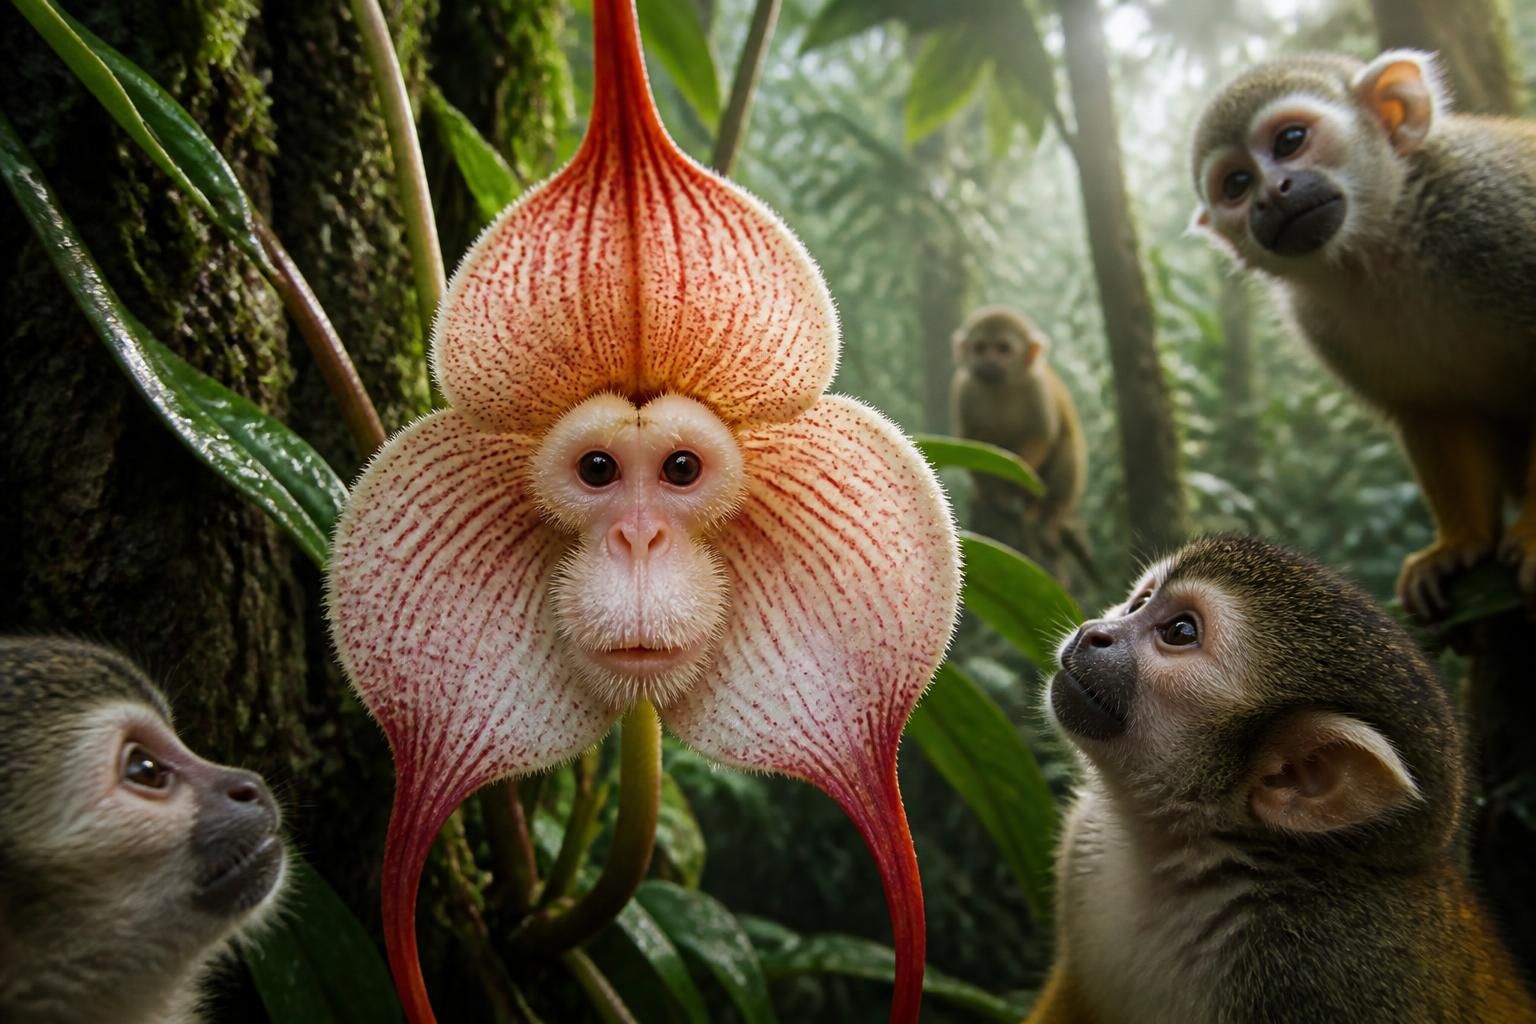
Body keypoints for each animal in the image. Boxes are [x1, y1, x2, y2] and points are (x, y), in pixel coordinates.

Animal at [950, 306, 1090, 581]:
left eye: (1003, 349)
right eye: (980, 348)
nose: (989, 362)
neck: (1002, 386)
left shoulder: (1036, 388)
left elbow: (1042, 435)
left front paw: (1019, 488)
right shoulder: (964, 388)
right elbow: (971, 441)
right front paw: (991, 495)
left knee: (1067, 449)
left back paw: (1048, 515)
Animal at [1027, 534, 1535, 1023]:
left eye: (1180, 632)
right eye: (1141, 601)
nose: (1095, 633)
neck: (1177, 853)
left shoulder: (1328, 966)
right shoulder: (1084, 839)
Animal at [1190, 50, 1536, 620]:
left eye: (1290, 140)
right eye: (1236, 184)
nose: (1269, 196)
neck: (1383, 242)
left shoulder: (1492, 207)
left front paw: (1535, 536)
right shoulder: (1318, 320)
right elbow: (1429, 408)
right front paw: (1459, 544)